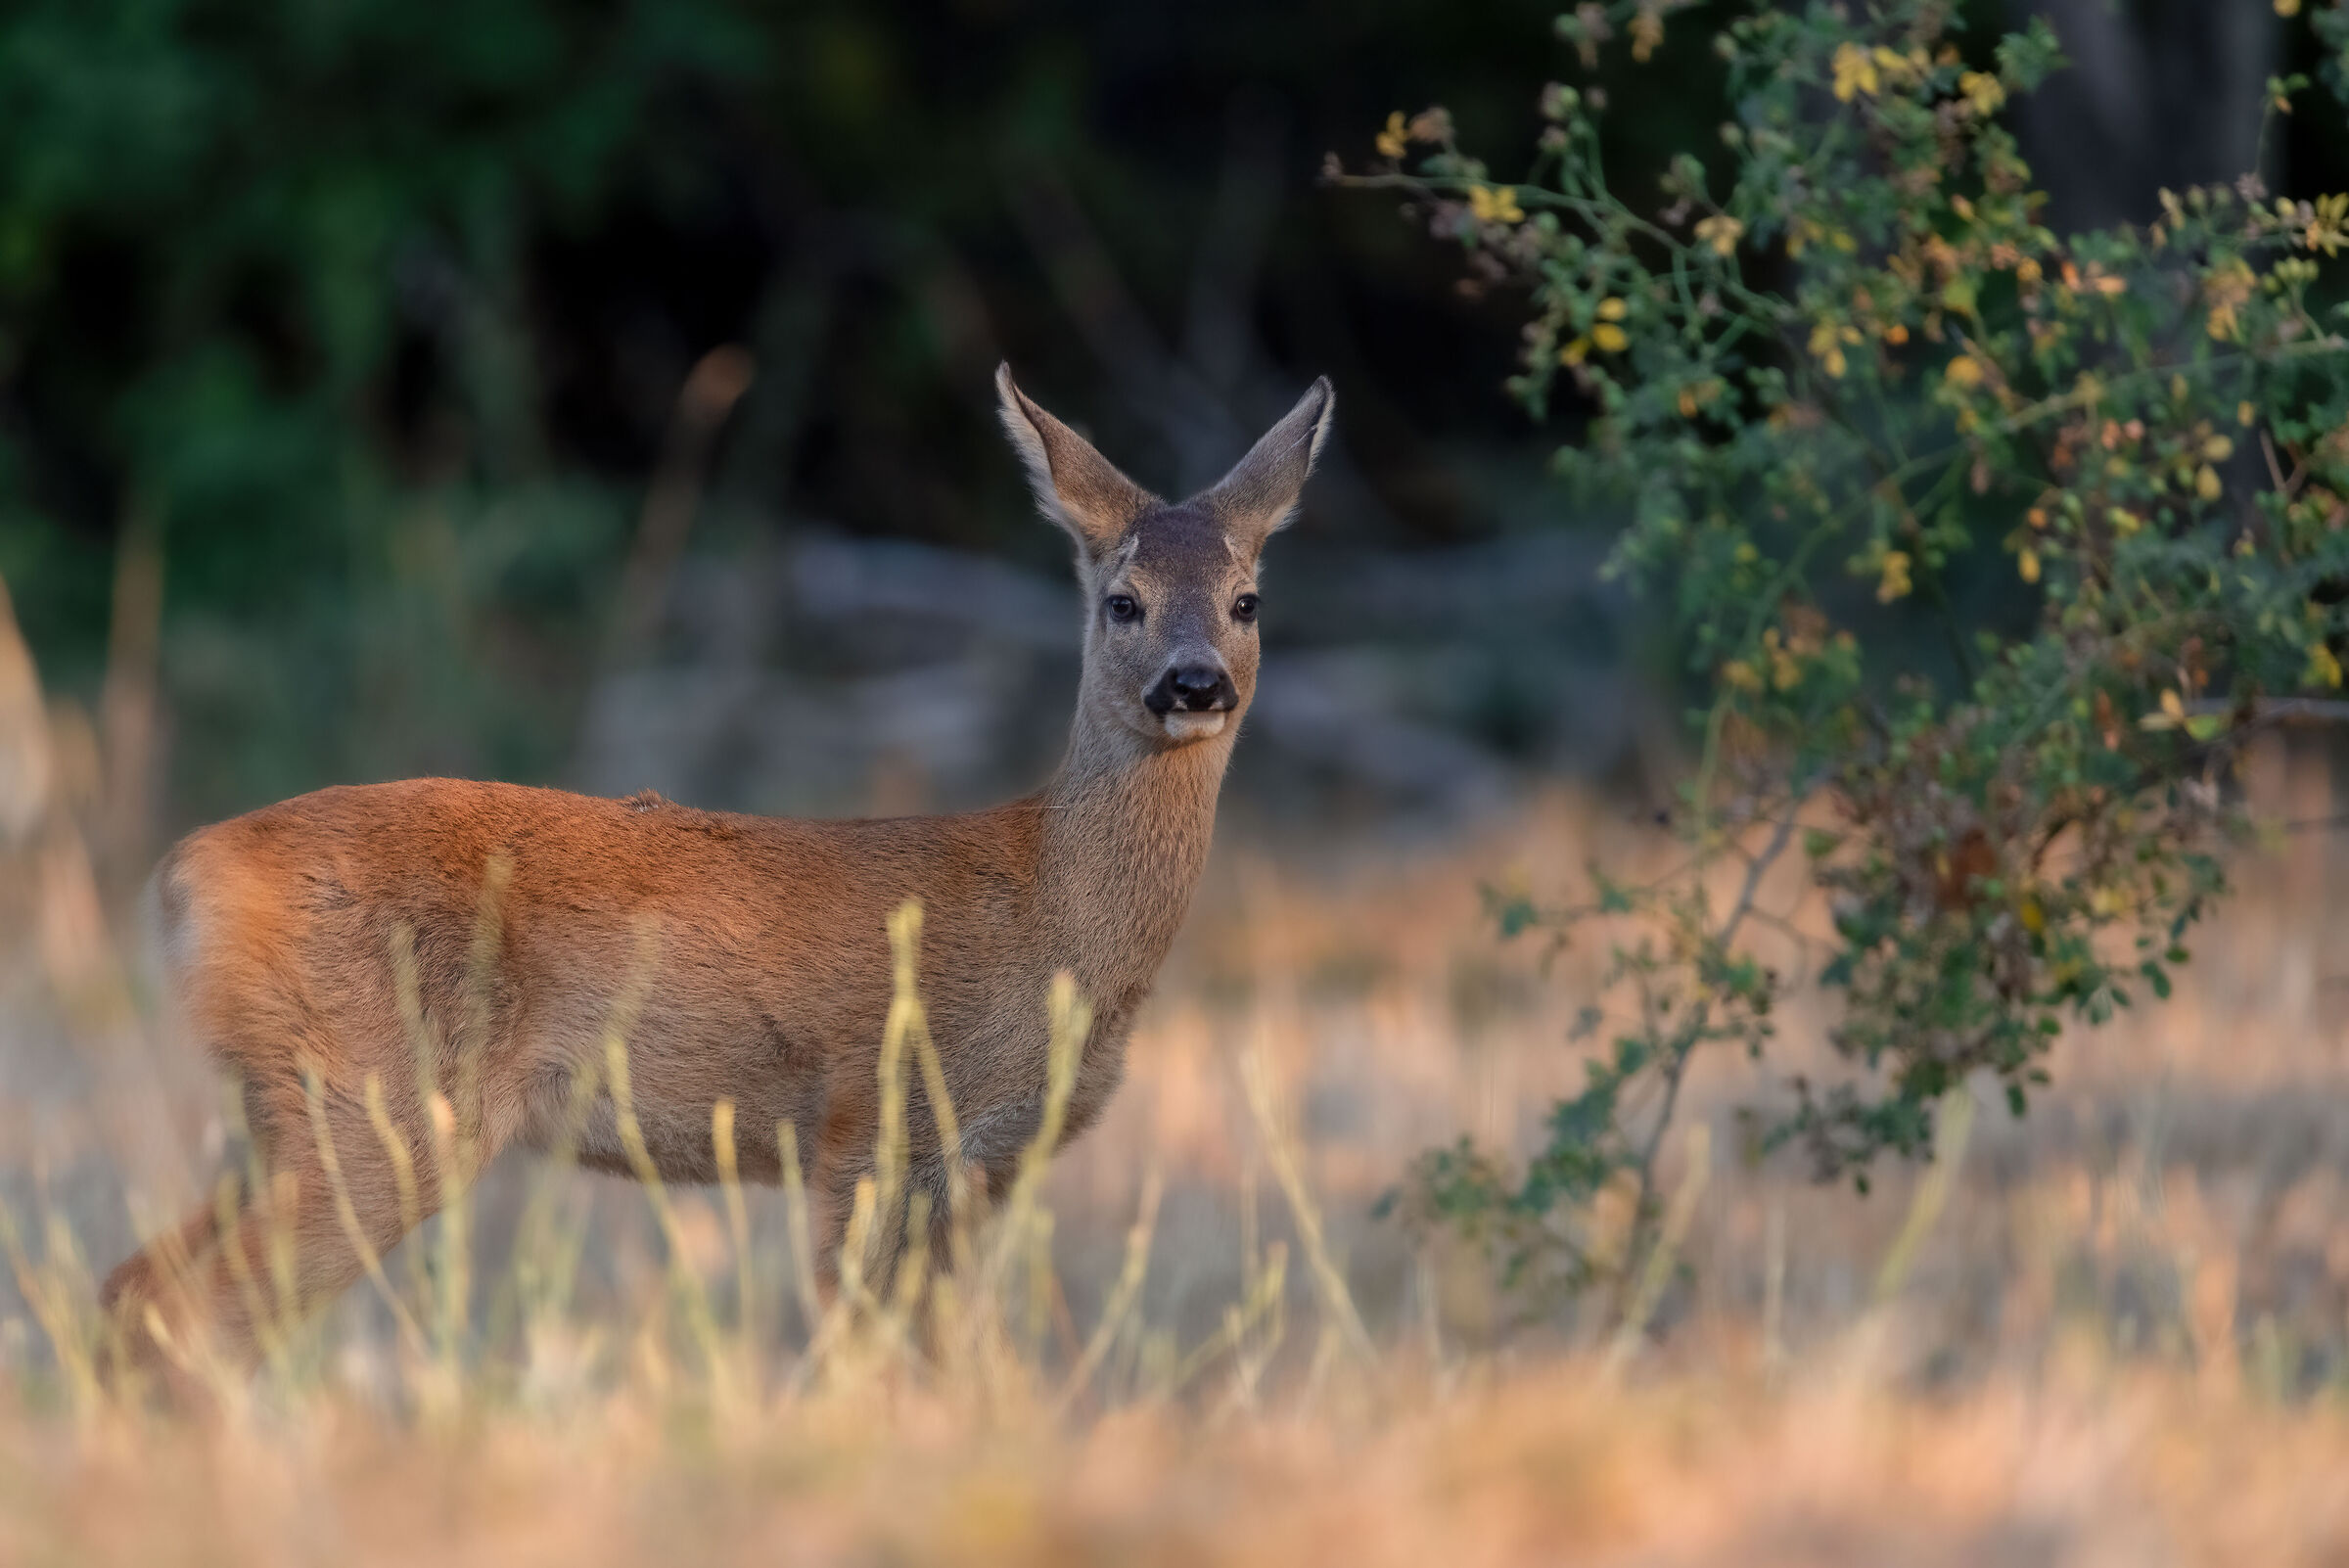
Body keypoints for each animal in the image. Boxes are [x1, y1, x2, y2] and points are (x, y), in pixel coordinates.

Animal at [98, 365, 1334, 1381]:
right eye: (1123, 602)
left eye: (1247, 602)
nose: (1194, 683)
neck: (1049, 910)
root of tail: (185, 876)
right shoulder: (869, 1124)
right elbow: (858, 1357)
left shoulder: (974, 1174)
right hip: (375, 1100)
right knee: (189, 1316)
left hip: (284, 1114)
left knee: (133, 1291)